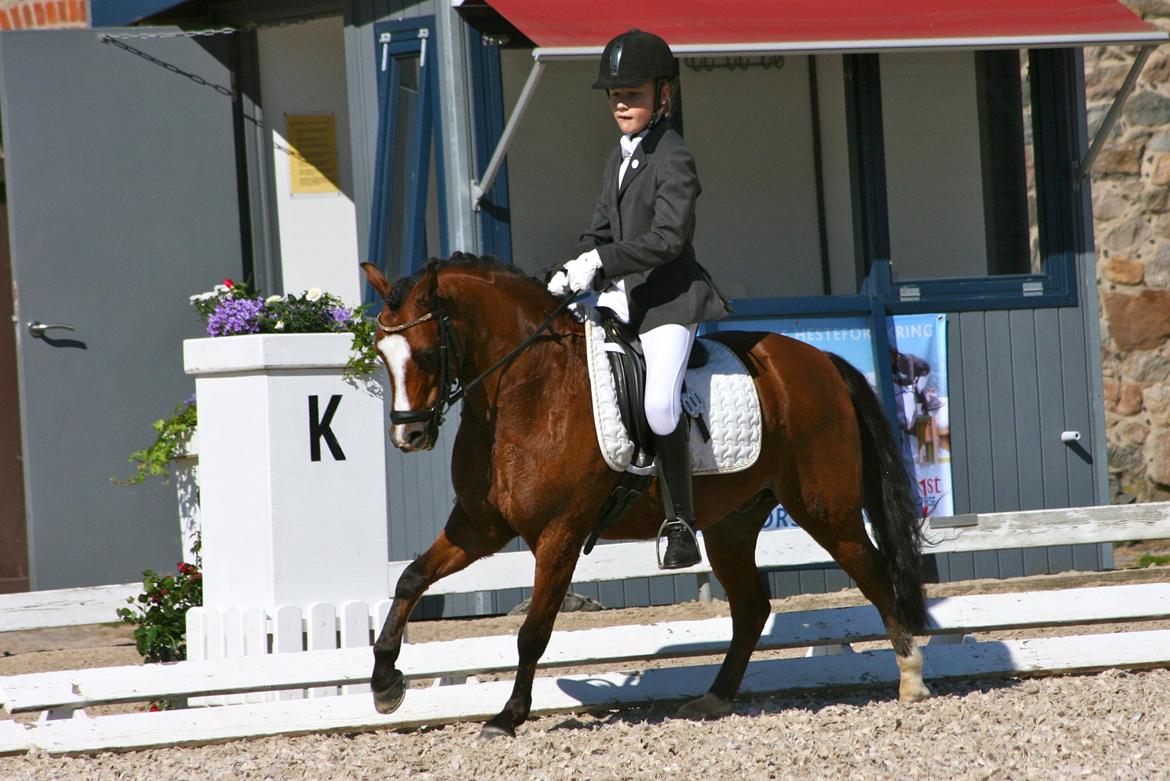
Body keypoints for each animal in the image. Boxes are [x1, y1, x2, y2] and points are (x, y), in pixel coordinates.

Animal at [361, 254, 930, 739]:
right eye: (381, 353)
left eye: (428, 352)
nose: (409, 436)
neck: (527, 390)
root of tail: (821, 360)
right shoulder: (479, 527)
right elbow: (410, 579)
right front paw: (385, 684)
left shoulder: (559, 534)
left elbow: (533, 631)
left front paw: (508, 716)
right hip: (732, 524)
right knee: (751, 608)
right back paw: (714, 698)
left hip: (825, 509)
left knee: (873, 573)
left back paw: (911, 677)